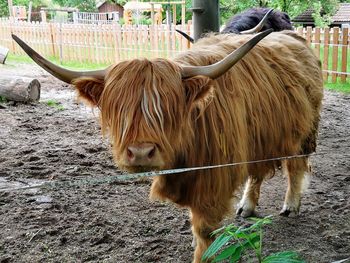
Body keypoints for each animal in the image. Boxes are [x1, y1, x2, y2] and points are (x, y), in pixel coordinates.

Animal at [14, 29, 326, 262]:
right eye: (120, 110)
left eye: (166, 110)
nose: (141, 152)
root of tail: (294, 38)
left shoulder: (210, 183)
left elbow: (205, 234)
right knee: (257, 172)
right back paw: (247, 206)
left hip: (303, 131)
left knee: (295, 166)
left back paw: (291, 206)